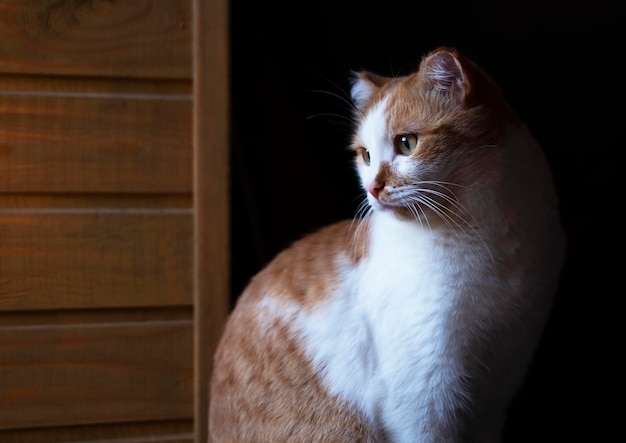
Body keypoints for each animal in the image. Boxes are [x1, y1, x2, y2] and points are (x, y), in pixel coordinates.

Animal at [207, 47, 564, 443]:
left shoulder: (497, 389)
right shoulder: (421, 394)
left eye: (406, 143)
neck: (484, 238)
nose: (372, 188)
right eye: (365, 155)